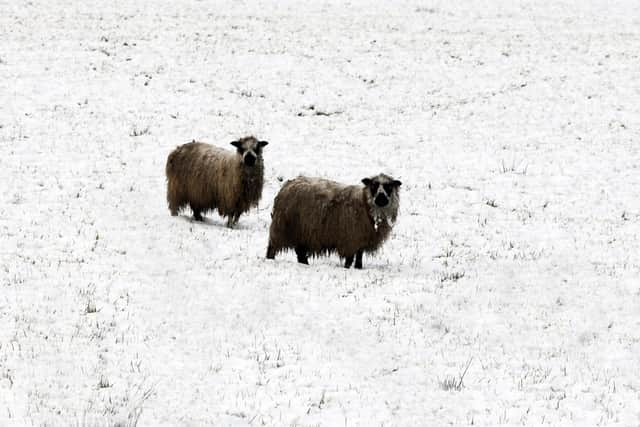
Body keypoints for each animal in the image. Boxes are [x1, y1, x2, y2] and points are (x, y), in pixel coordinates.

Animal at [268, 173, 402, 268]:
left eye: (389, 187)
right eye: (374, 185)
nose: (381, 198)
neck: (365, 204)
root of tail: (287, 185)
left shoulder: (361, 238)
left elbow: (359, 256)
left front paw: (358, 268)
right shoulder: (350, 239)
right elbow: (350, 259)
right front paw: (347, 268)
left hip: (302, 232)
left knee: (300, 253)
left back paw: (305, 264)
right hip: (283, 228)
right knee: (272, 247)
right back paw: (269, 260)